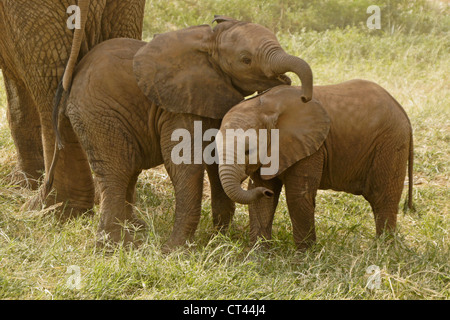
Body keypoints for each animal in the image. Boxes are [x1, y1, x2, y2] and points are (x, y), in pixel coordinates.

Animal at [46, 16, 312, 249]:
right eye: (246, 59)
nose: (304, 96)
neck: (209, 42)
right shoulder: (178, 103)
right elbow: (185, 164)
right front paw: (176, 250)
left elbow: (215, 158)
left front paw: (219, 238)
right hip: (98, 114)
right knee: (116, 170)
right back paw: (117, 246)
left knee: (129, 169)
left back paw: (136, 229)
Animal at [218, 80, 414, 250]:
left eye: (248, 151)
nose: (266, 192)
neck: (264, 108)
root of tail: (401, 109)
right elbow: (261, 199)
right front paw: (258, 255)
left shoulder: (310, 148)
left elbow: (298, 196)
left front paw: (303, 259)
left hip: (391, 144)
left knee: (383, 199)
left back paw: (383, 250)